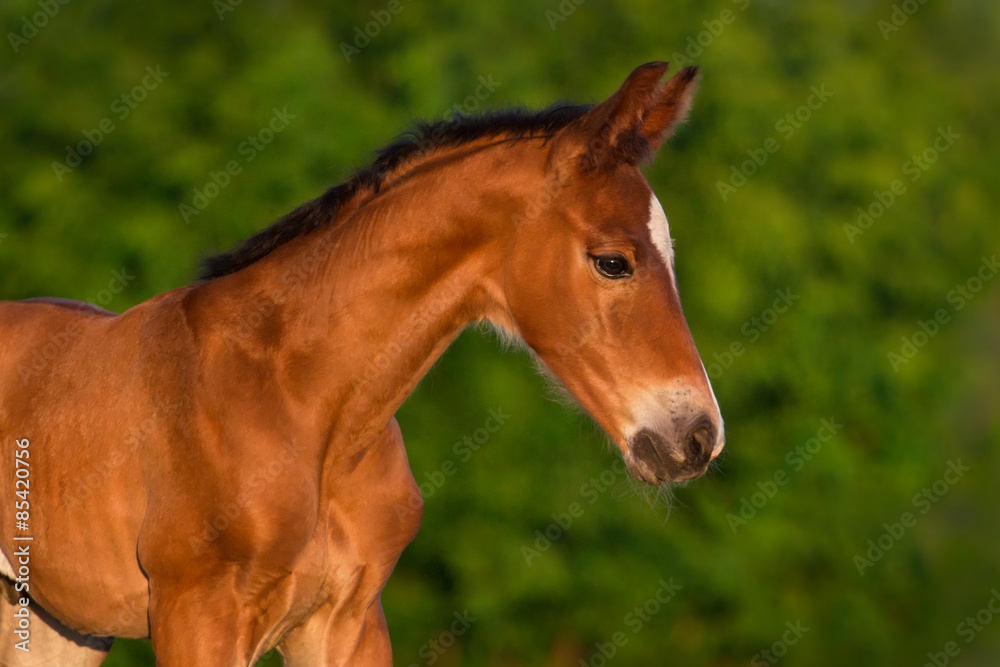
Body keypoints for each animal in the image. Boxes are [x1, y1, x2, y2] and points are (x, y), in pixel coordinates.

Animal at [0, 61, 724, 664]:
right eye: (612, 261)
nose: (698, 437)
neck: (307, 406)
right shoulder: (196, 616)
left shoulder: (348, 621)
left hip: (55, 623)